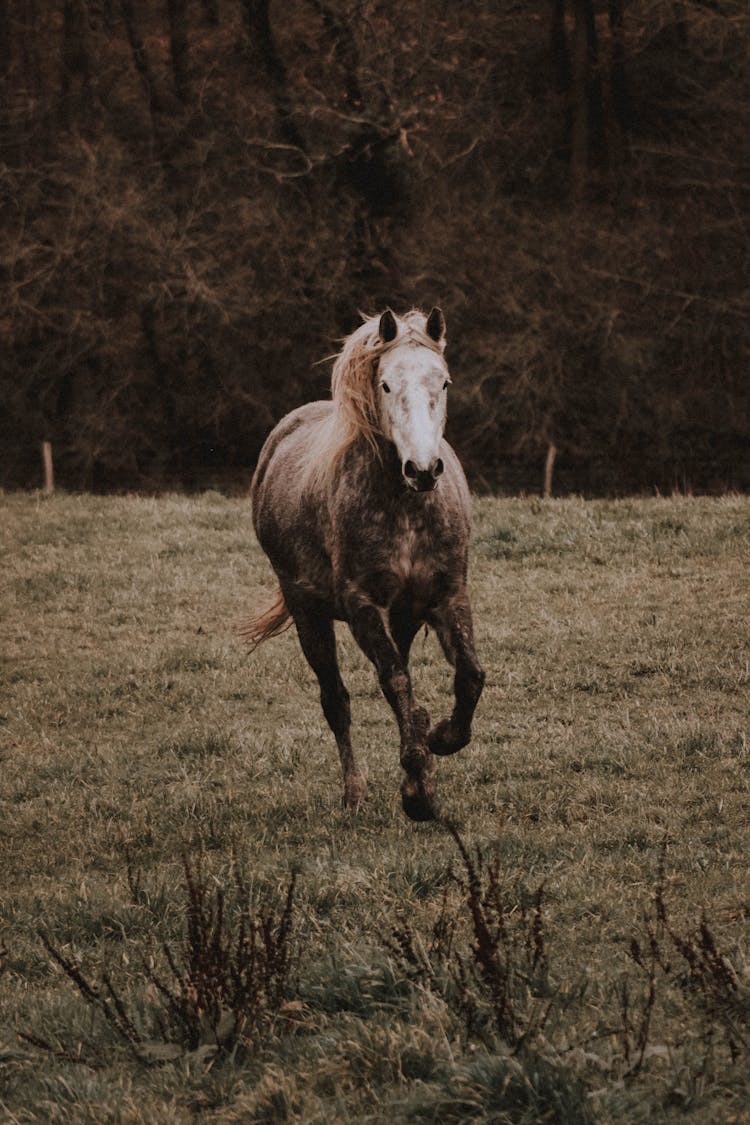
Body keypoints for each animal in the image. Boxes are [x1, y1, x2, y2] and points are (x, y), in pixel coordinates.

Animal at [244, 306, 483, 819]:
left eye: (444, 382)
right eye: (386, 385)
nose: (423, 470)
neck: (406, 507)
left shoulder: (447, 596)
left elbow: (469, 676)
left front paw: (441, 739)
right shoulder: (361, 606)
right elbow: (393, 682)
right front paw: (418, 792)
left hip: (404, 617)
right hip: (308, 613)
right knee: (337, 702)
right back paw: (354, 793)